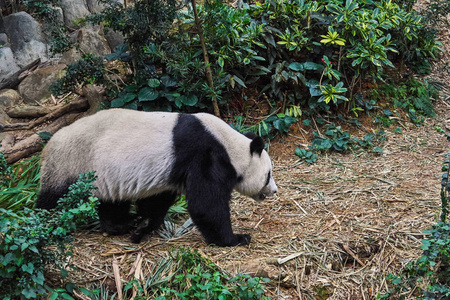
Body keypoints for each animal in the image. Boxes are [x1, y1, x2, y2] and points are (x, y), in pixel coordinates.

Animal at [37, 109, 278, 247]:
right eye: (268, 175)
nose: (274, 191)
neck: (229, 145)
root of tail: (47, 147)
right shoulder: (205, 156)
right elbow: (206, 205)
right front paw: (236, 238)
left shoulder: (170, 173)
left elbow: (158, 201)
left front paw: (144, 226)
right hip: (73, 162)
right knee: (53, 198)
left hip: (102, 173)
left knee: (111, 201)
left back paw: (122, 223)